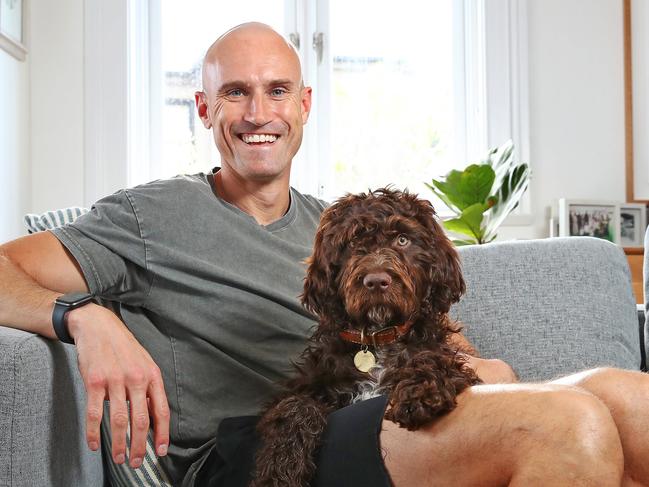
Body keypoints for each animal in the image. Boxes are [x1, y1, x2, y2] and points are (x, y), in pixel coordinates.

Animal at [251, 189, 478, 486]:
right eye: (352, 242)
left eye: (402, 239)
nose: (377, 281)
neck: (376, 338)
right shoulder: (306, 387)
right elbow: (294, 407)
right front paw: (280, 471)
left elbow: (434, 358)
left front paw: (420, 390)